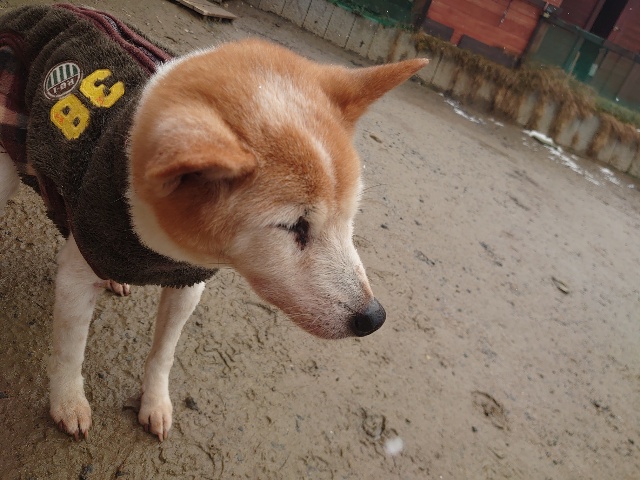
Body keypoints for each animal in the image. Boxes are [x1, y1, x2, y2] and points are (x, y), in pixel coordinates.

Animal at [0, 5, 427, 441]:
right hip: (6, 171)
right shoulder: (75, 277)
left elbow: (164, 354)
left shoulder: (188, 283)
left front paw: (155, 403)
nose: (374, 318)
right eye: (294, 227)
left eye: (350, 216)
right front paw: (68, 403)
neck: (165, 247)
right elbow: (70, 352)